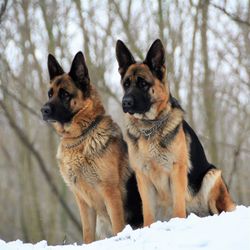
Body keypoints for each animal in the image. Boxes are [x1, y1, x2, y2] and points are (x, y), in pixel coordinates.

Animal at [41, 52, 143, 242]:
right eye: (50, 94)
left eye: (65, 94)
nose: (43, 110)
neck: (81, 137)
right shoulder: (83, 201)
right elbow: (87, 234)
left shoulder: (111, 193)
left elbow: (118, 227)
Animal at [116, 38, 235, 227]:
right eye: (126, 85)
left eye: (143, 84)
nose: (125, 102)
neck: (149, 127)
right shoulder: (143, 177)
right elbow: (148, 213)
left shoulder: (177, 171)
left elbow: (178, 207)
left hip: (212, 175)